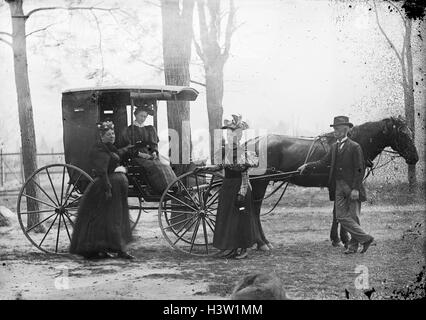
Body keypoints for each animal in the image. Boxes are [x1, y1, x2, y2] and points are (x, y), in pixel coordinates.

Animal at [246, 116, 420, 246]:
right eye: (402, 134)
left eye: (410, 132)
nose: (415, 157)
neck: (355, 143)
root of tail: (253, 141)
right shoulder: (340, 184)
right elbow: (339, 212)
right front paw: (342, 239)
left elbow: (338, 211)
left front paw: (338, 238)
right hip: (260, 182)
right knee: (255, 210)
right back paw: (262, 242)